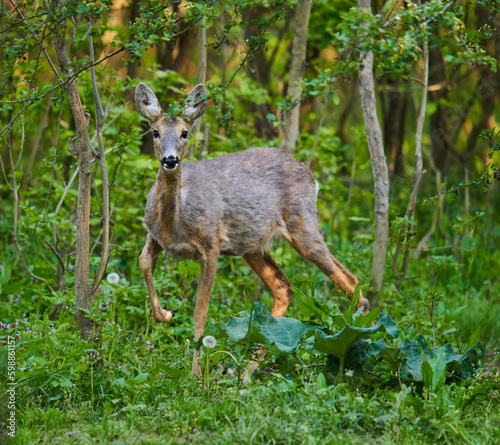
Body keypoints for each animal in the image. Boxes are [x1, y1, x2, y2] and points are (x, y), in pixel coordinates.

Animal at [135, 81, 370, 372]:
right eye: (155, 132)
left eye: (185, 133)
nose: (170, 160)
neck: (174, 222)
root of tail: (312, 177)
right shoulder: (155, 236)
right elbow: (143, 261)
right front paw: (165, 314)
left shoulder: (211, 244)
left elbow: (200, 311)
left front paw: (196, 375)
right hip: (252, 246)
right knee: (284, 288)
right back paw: (248, 372)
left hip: (303, 224)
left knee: (350, 281)